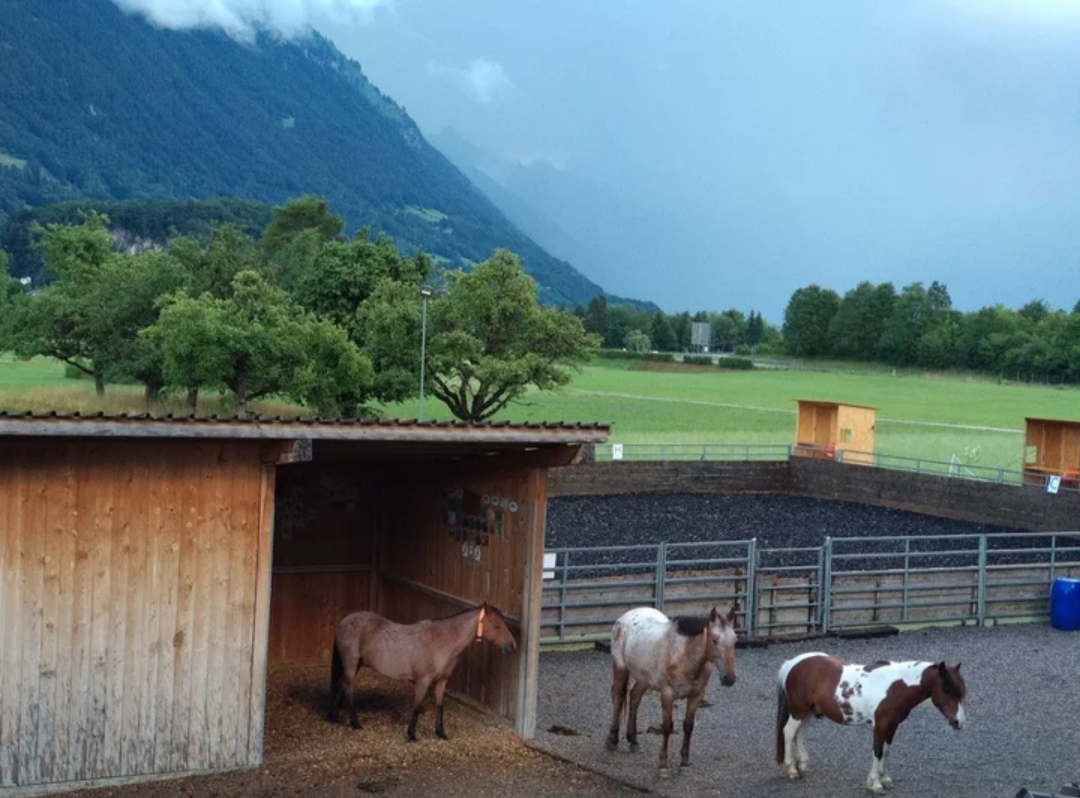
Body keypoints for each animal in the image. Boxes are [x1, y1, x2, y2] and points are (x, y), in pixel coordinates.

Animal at [328, 602, 517, 741]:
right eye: (497, 626)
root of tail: (343, 622)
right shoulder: (423, 681)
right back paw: (355, 723)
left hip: (355, 665)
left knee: (341, 685)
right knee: (349, 689)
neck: (442, 641)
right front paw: (411, 735)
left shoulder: (441, 681)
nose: (512, 645)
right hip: (351, 664)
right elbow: (417, 707)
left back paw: (335, 716)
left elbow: (440, 706)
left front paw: (441, 733)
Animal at [605, 605, 738, 773]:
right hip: (620, 669)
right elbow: (667, 727)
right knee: (618, 697)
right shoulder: (667, 694)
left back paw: (634, 741)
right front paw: (663, 765)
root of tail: (626, 616)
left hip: (644, 678)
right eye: (714, 640)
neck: (684, 655)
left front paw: (684, 763)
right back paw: (612, 740)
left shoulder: (696, 695)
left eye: (735, 640)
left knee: (634, 697)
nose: (729, 678)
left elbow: (688, 726)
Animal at [775, 652, 967, 793]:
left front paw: (885, 779)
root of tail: (792, 663)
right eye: (946, 689)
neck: (897, 686)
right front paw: (875, 784)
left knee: (799, 734)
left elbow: (886, 752)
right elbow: (878, 751)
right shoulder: (880, 725)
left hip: (807, 712)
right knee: (788, 732)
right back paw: (791, 769)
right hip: (798, 711)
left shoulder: (892, 725)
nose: (958, 722)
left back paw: (802, 766)